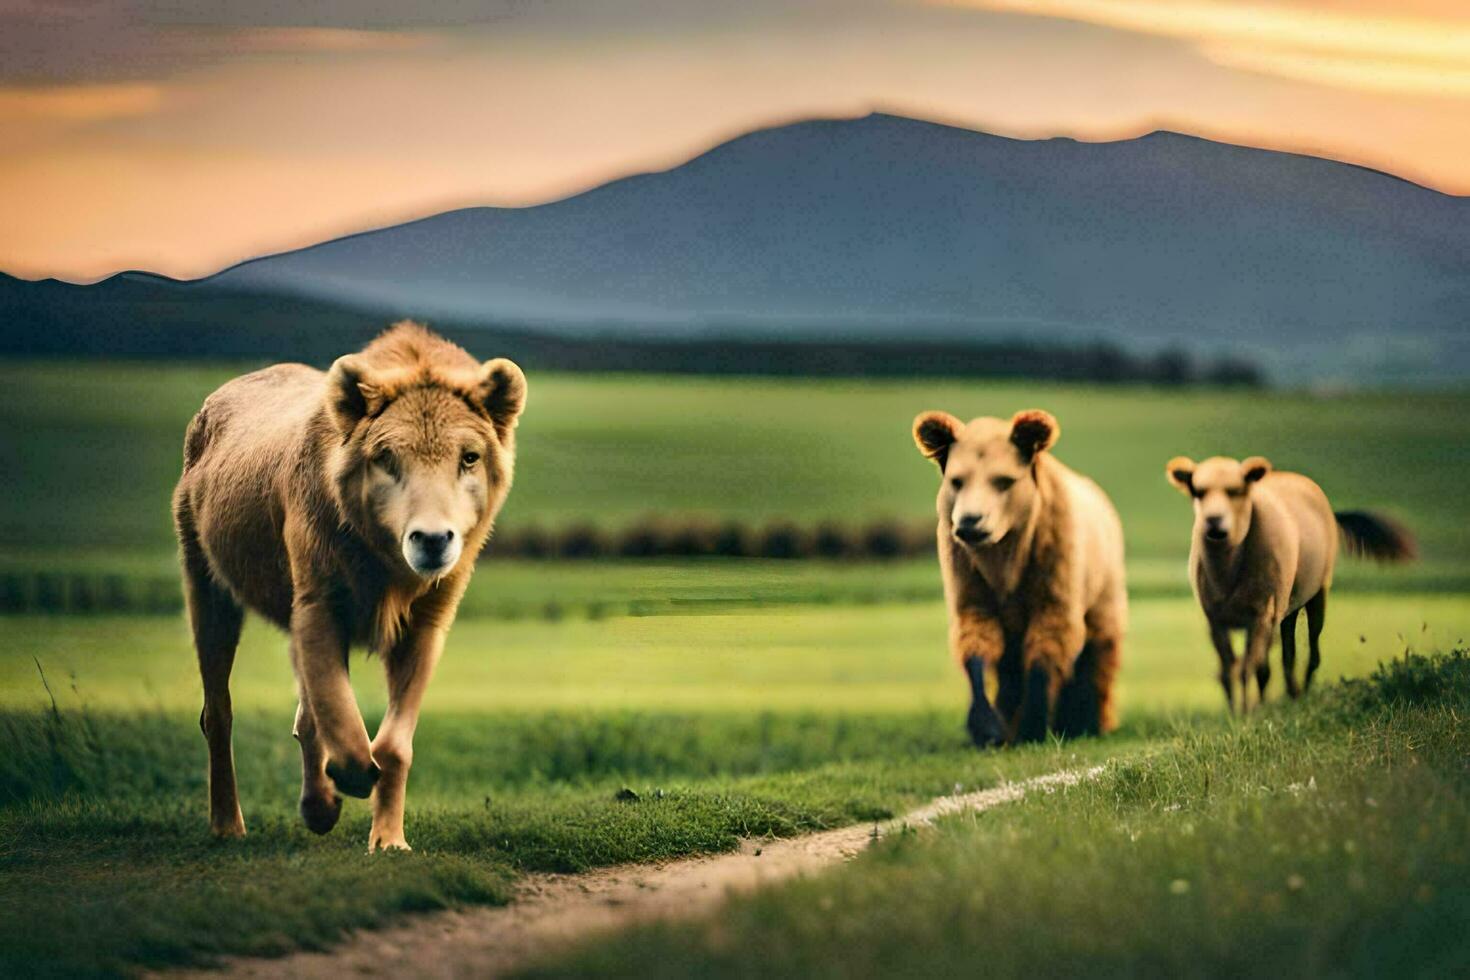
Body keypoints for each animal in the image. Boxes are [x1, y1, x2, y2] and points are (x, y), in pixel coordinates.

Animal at [172, 321, 529, 852]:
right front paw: (345, 786)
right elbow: (341, 721)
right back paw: (229, 825)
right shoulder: (318, 606)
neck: (387, 565)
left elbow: (393, 744)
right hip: (208, 588)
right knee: (218, 712)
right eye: (386, 458)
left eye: (469, 457)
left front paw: (388, 840)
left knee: (303, 716)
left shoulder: (425, 626)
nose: (432, 539)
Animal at [905, 411, 1123, 746]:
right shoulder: (970, 579)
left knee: (1099, 649)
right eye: (957, 480)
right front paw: (987, 726)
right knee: (1009, 668)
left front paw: (1034, 725)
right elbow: (977, 644)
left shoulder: (1052, 575)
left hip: (1102, 588)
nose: (970, 521)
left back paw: (1088, 721)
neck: (1004, 559)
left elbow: (1047, 650)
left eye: (1003, 480)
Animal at [1164, 455, 1417, 717]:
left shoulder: (1261, 617)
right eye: (1198, 491)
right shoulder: (1217, 621)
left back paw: (1302, 694)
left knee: (1312, 652)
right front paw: (1237, 712)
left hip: (1316, 595)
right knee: (1287, 653)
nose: (1214, 520)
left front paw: (1252, 713)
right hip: (1286, 609)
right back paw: (1291, 693)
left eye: (1237, 490)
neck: (1228, 574)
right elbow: (1229, 671)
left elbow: (1251, 669)